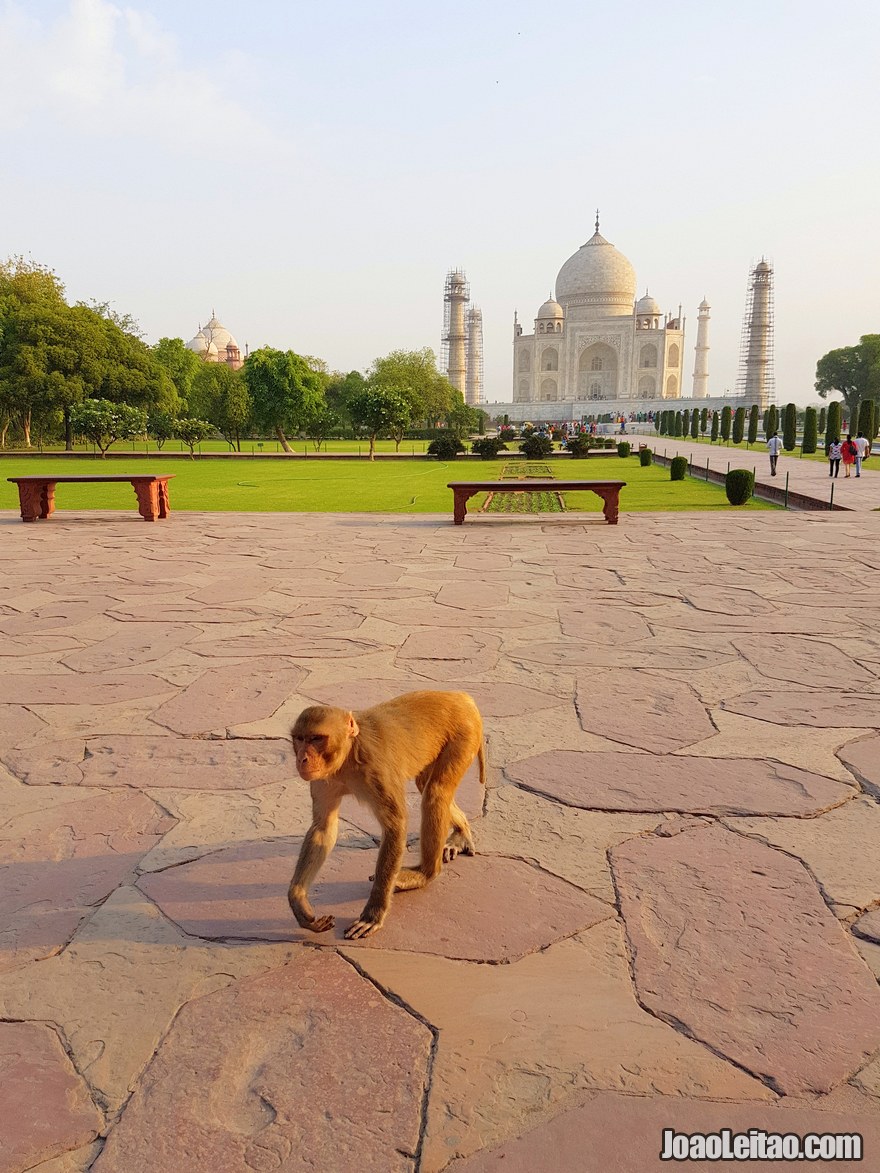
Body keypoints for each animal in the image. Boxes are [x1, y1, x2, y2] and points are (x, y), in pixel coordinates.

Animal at [287, 689, 485, 938]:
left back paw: (424, 874)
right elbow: (323, 827)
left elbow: (395, 826)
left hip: (464, 733)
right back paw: (461, 830)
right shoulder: (323, 779)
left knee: (435, 792)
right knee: (427, 786)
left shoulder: (377, 770)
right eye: (299, 739)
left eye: (316, 739)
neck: (349, 756)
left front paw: (373, 913)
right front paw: (298, 900)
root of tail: (460, 695)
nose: (302, 758)